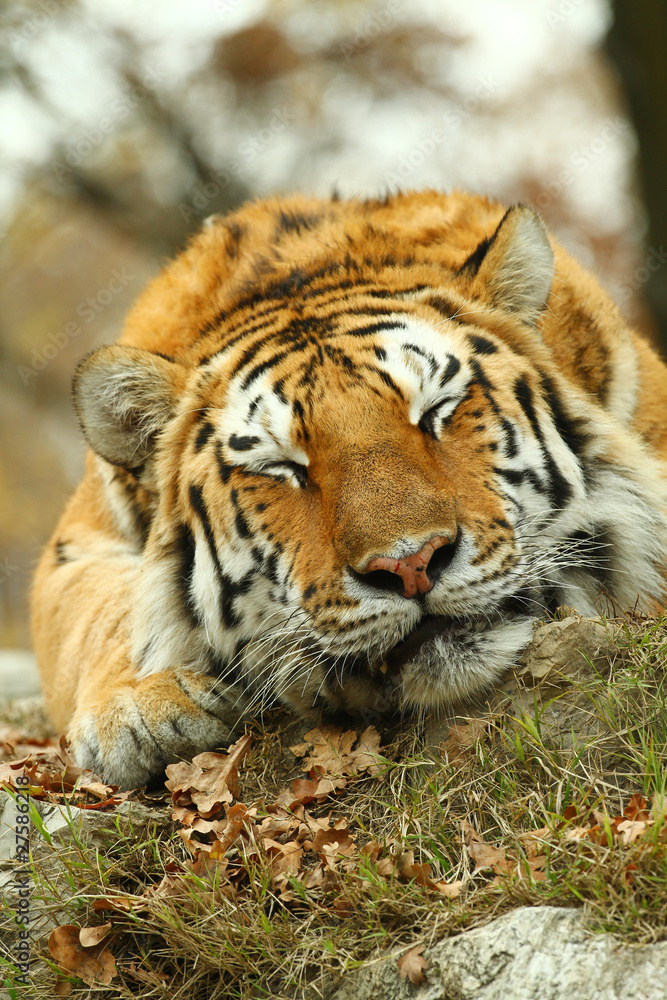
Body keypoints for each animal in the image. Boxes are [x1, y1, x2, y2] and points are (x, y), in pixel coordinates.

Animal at [31, 189, 667, 789]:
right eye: (283, 466)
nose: (412, 565)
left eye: (434, 412)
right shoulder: (74, 548)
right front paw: (141, 710)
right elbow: (107, 612)